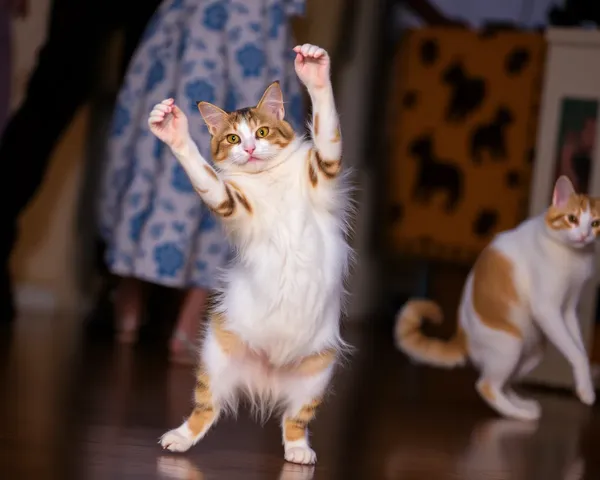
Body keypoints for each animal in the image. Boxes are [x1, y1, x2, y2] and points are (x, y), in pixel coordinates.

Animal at [148, 45, 352, 464]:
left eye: (261, 132)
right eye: (231, 137)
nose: (250, 148)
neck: (266, 178)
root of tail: (268, 374)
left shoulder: (324, 168)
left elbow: (326, 125)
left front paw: (313, 67)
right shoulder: (230, 202)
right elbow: (203, 173)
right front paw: (173, 130)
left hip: (316, 374)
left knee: (295, 421)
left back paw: (299, 453)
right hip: (216, 359)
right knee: (206, 410)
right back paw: (178, 439)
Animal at [394, 176, 596, 420]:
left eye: (595, 224)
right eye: (572, 219)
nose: (584, 236)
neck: (575, 256)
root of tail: (461, 337)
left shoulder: (568, 309)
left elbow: (579, 348)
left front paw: (586, 385)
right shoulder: (546, 308)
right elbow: (576, 353)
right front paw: (586, 391)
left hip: (532, 352)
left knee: (504, 382)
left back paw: (521, 404)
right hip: (511, 345)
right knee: (486, 385)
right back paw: (519, 414)